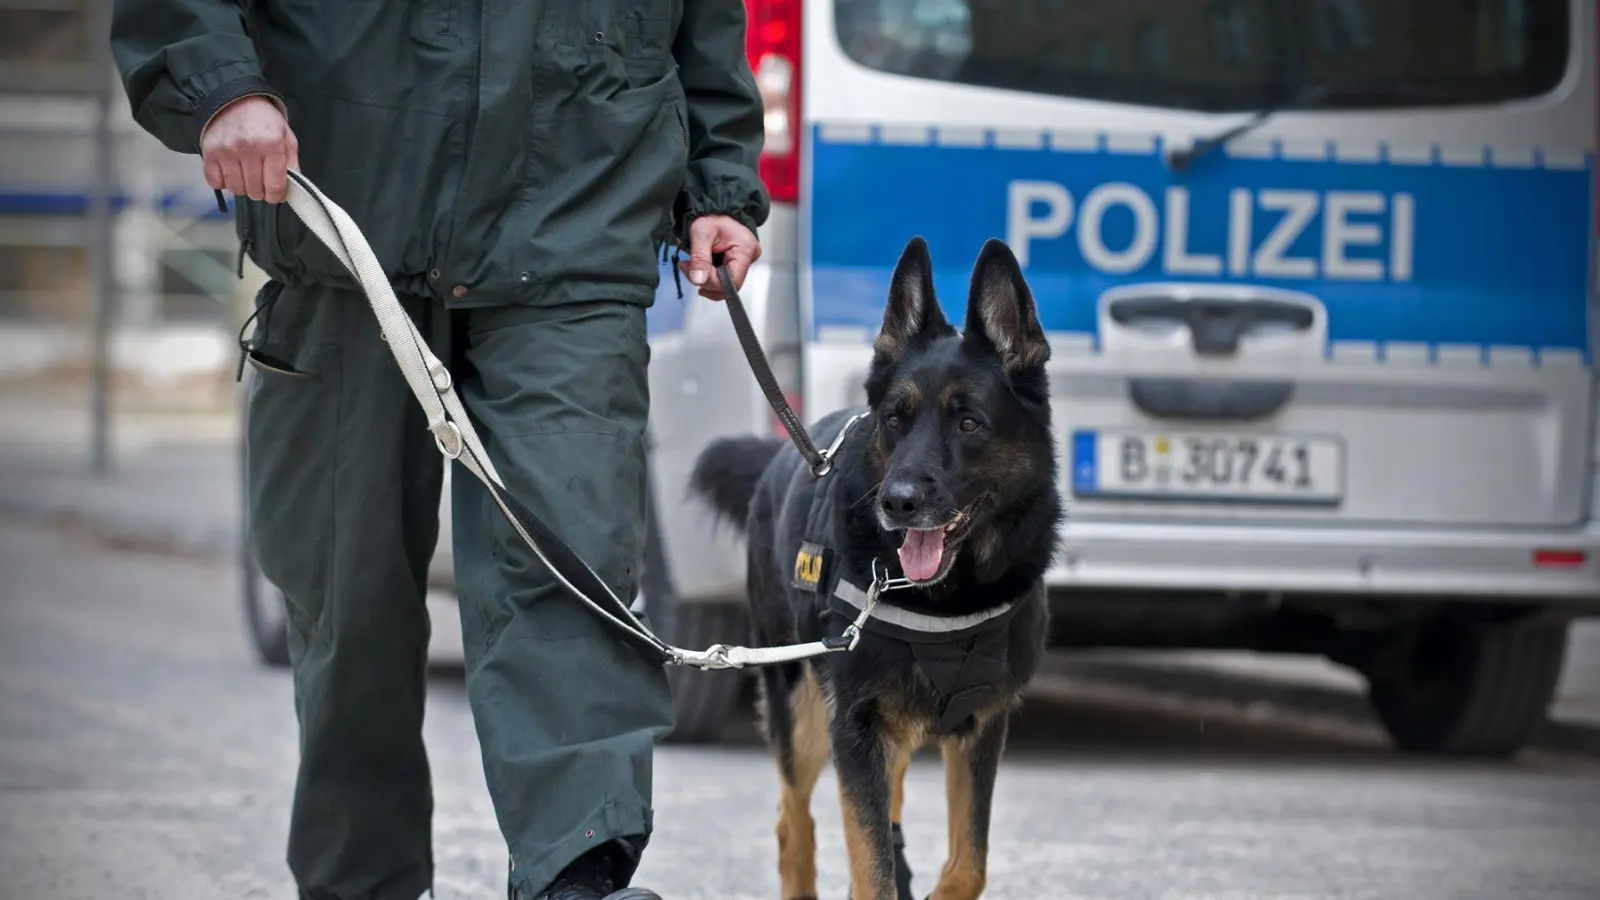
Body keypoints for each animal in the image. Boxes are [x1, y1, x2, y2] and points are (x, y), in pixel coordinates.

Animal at [688, 237, 1062, 896]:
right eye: (894, 419)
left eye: (969, 423)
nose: (897, 502)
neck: (947, 600)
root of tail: (784, 454)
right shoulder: (856, 731)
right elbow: (873, 868)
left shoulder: (981, 730)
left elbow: (970, 864)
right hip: (804, 717)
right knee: (793, 821)